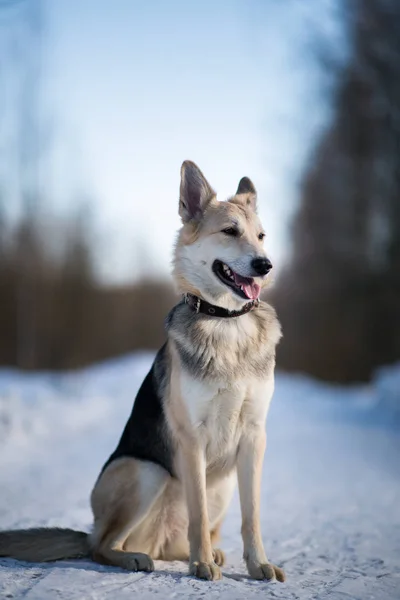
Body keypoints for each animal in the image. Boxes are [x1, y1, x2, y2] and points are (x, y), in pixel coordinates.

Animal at [0, 162, 288, 584]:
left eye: (261, 236)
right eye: (230, 232)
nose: (265, 265)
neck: (226, 323)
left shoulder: (254, 437)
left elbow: (251, 517)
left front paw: (258, 564)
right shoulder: (192, 438)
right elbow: (198, 512)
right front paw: (201, 566)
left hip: (222, 484)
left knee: (173, 540)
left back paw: (207, 554)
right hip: (146, 471)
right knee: (102, 546)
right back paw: (141, 557)